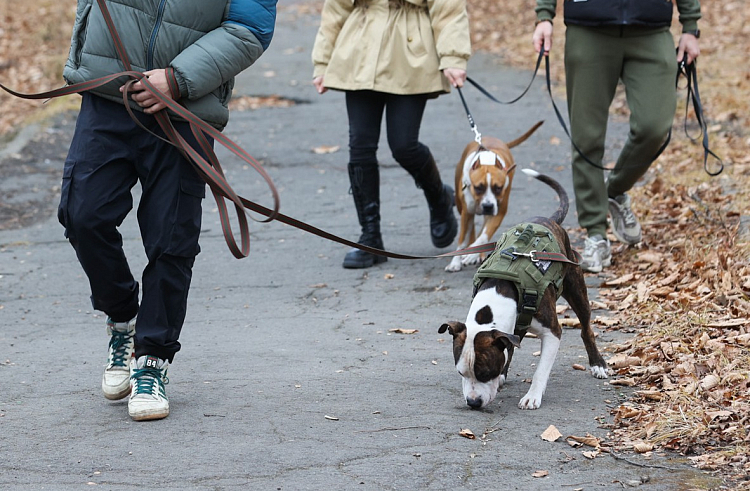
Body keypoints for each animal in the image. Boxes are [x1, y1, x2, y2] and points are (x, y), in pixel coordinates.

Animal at [440, 170, 612, 412]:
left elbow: (541, 370)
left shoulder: (552, 333)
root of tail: (549, 220)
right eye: (460, 373)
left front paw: (532, 396)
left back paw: (598, 364)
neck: (500, 294)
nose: (473, 403)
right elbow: (508, 348)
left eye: (485, 373)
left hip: (576, 288)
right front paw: (503, 375)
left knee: (586, 328)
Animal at [446, 120, 548, 270]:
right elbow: (462, 239)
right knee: (471, 228)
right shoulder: (466, 212)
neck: (487, 161)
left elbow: (484, 235)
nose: (488, 206)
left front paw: (473, 253)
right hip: (461, 206)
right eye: (478, 187)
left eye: (498, 188)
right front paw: (455, 262)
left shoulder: (499, 212)